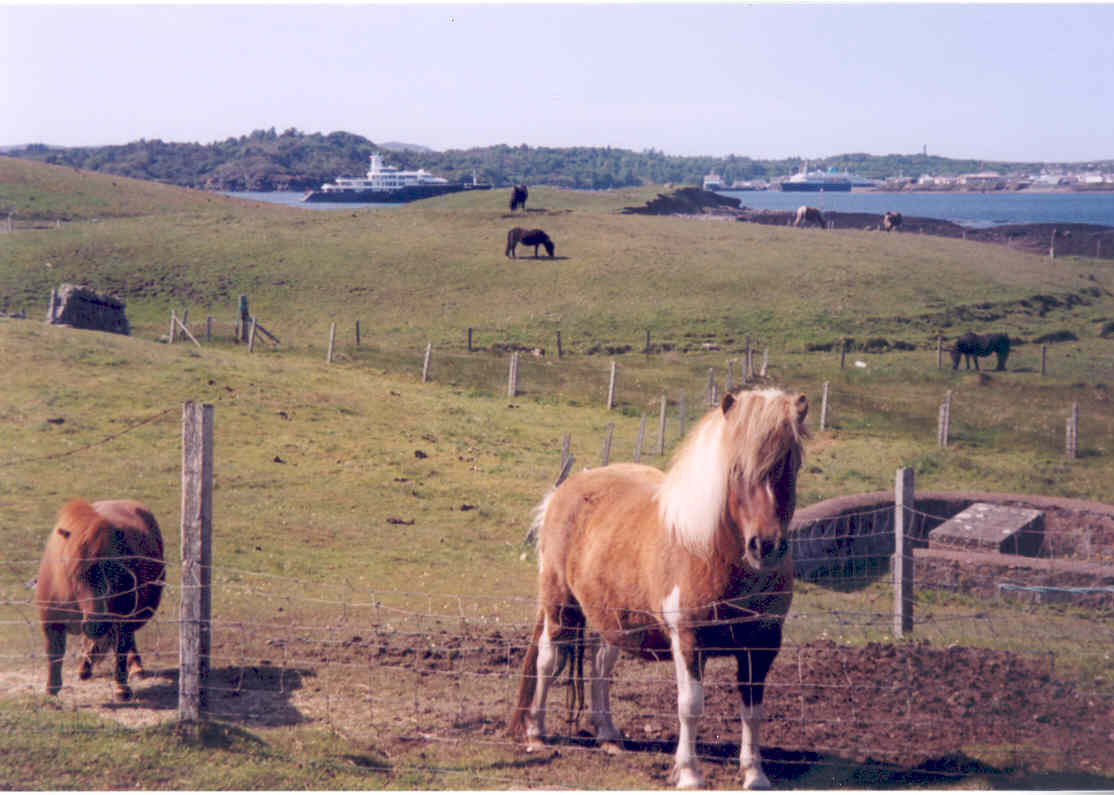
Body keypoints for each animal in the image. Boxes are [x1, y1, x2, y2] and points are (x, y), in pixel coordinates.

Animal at [34, 499, 165, 700]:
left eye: (112, 569)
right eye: (72, 571)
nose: (96, 624)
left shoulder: (121, 622)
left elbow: (120, 652)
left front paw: (122, 688)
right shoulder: (51, 623)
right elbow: (54, 655)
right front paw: (52, 689)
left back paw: (135, 668)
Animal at [510, 388, 809, 789]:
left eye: (790, 464)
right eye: (735, 469)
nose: (766, 546)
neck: (712, 554)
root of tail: (564, 489)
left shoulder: (761, 645)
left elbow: (753, 710)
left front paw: (754, 773)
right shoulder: (688, 640)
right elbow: (691, 706)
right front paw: (689, 773)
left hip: (615, 617)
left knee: (601, 664)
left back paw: (608, 735)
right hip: (560, 607)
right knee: (547, 659)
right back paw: (537, 733)